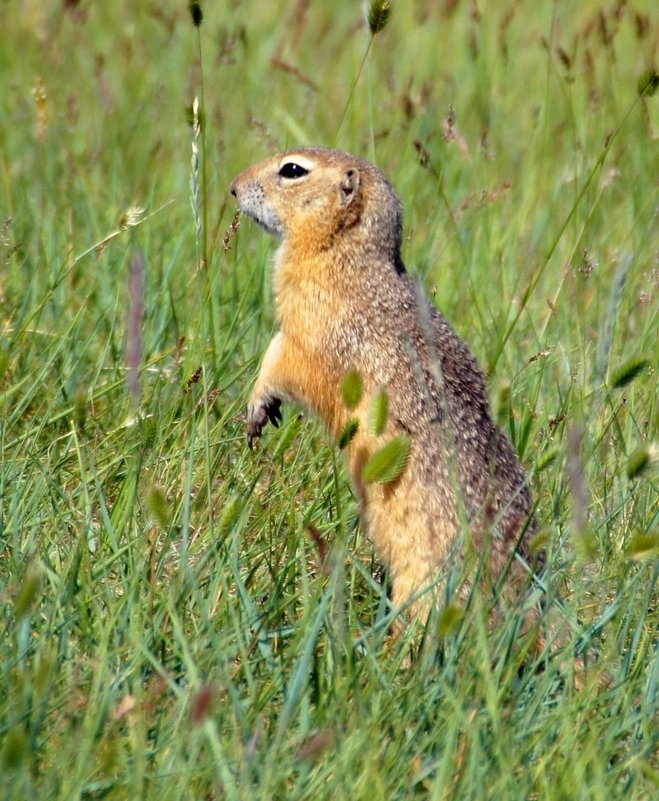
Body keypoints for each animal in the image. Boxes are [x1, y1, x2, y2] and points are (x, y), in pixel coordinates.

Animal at [231, 148, 536, 612]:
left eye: (293, 170)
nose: (232, 187)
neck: (344, 252)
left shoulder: (312, 329)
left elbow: (282, 359)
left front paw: (258, 403)